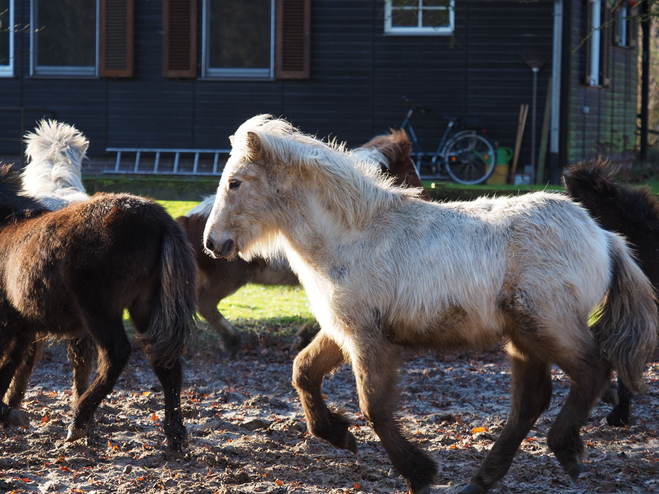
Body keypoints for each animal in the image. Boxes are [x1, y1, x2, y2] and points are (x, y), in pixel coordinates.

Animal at [0, 166, 196, 452]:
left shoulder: (10, 324)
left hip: (98, 309)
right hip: (145, 307)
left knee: (116, 354)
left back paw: (79, 422)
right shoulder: (25, 325)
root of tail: (159, 218)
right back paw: (175, 436)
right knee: (166, 365)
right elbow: (16, 365)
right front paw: (9, 412)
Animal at [178, 129, 430, 356]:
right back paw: (231, 340)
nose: (425, 197)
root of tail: (187, 220)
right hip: (228, 280)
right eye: (410, 171)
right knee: (205, 303)